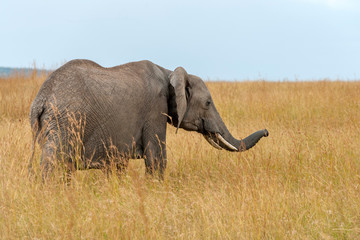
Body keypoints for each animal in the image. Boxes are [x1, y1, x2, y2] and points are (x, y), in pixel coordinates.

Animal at [29, 58, 268, 177]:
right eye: (208, 103)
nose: (266, 131)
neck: (169, 72)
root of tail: (41, 98)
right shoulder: (155, 110)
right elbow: (156, 158)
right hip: (66, 122)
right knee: (54, 163)